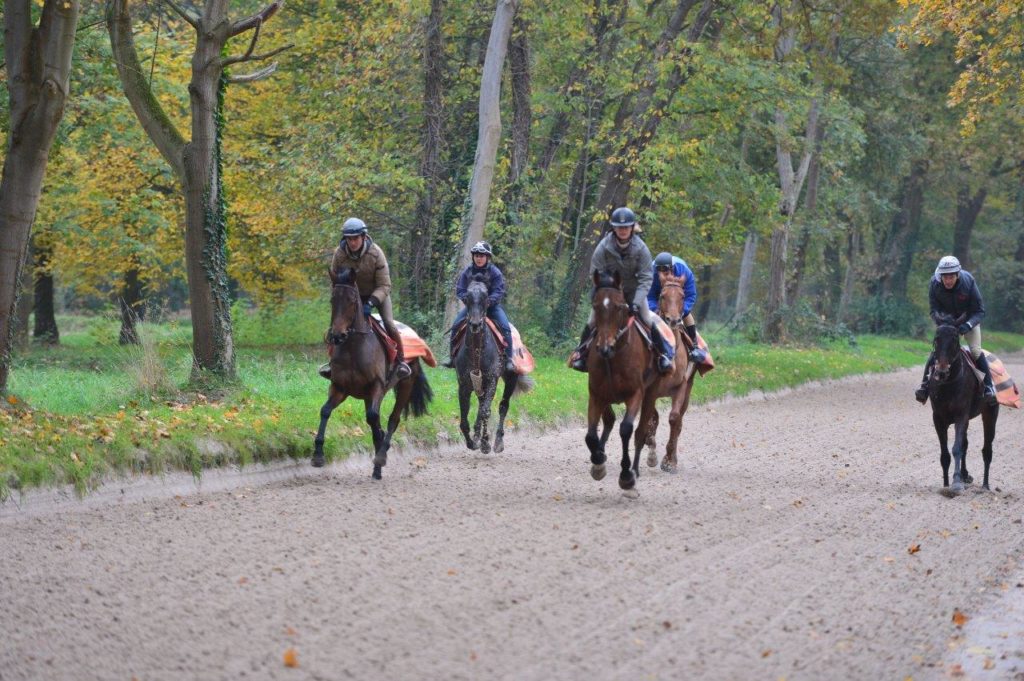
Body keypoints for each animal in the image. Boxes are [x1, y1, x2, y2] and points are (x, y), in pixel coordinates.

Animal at [311, 268, 432, 481]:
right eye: (333, 300)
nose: (337, 335)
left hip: (405, 385)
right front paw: (318, 455)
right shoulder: (339, 388)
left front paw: (380, 457)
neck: (353, 347)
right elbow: (325, 411)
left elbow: (374, 418)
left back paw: (380, 457)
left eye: (352, 300)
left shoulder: (376, 386)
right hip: (370, 395)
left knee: (393, 419)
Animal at [456, 274, 536, 454]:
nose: (475, 324)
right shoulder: (464, 385)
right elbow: (464, 417)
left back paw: (498, 442)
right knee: (481, 406)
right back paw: (477, 436)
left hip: (511, 379)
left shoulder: (492, 380)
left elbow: (486, 411)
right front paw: (472, 442)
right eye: (467, 298)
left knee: (502, 406)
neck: (477, 351)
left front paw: (485, 443)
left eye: (486, 298)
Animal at [585, 268, 655, 491]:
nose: (604, 347)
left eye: (618, 307)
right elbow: (590, 434)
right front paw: (598, 463)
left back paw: (635, 469)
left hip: (651, 394)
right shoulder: (596, 395)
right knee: (609, 421)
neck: (613, 357)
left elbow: (626, 429)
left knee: (640, 432)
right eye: (595, 306)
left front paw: (626, 476)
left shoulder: (636, 393)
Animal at [638, 272, 696, 473]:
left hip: (687, 391)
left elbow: (674, 419)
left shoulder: (681, 386)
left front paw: (669, 461)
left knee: (679, 423)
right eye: (663, 296)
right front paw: (651, 451)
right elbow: (652, 418)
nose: (673, 320)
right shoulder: (649, 390)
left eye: (683, 296)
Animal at [929, 311, 999, 491]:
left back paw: (985, 486)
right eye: (936, 338)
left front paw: (956, 483)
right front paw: (946, 484)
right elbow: (945, 454)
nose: (941, 371)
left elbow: (956, 448)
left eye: (955, 338)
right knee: (966, 445)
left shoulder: (961, 415)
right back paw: (966, 475)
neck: (948, 383)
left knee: (987, 450)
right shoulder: (938, 418)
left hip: (990, 413)